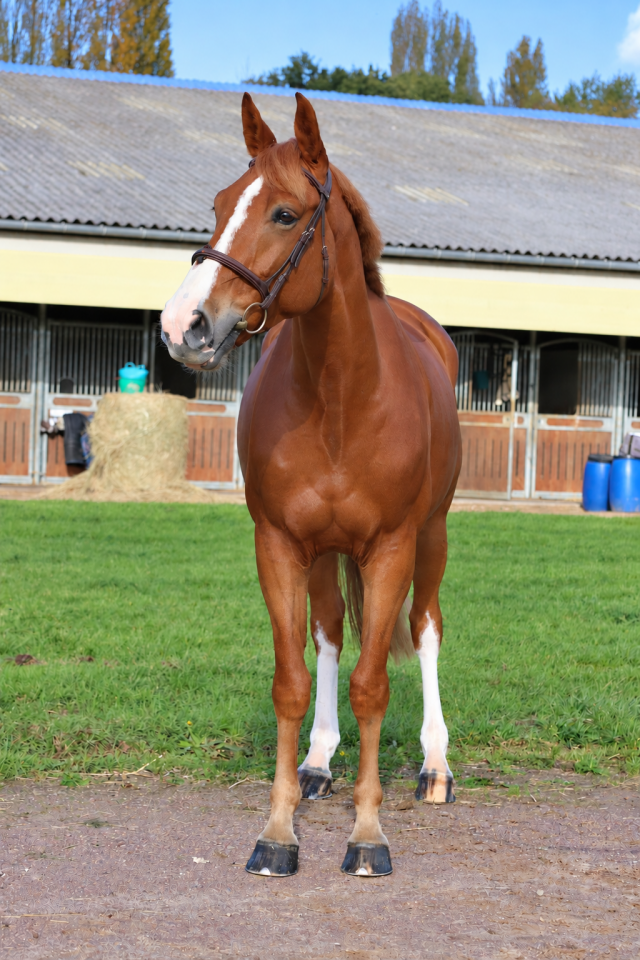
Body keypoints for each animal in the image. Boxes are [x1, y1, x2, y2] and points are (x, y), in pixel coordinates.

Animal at [160, 92, 461, 878]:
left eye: (285, 213)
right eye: (220, 203)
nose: (182, 325)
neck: (339, 397)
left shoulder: (390, 548)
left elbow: (373, 683)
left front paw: (368, 836)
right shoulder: (279, 544)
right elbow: (294, 681)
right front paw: (278, 829)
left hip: (433, 537)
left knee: (426, 628)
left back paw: (437, 767)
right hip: (326, 552)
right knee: (328, 632)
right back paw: (321, 763)